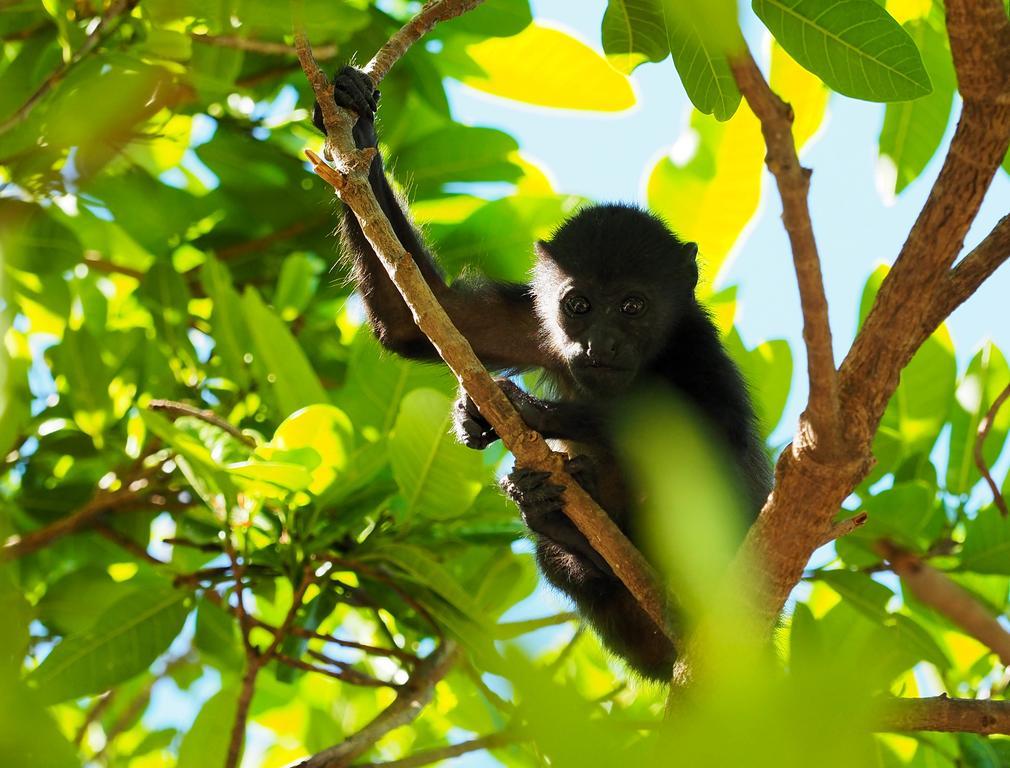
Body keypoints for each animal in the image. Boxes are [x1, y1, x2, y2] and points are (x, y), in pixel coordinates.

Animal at [315, 66, 771, 679]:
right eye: (579, 305)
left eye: (633, 306)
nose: (599, 341)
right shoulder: (535, 318)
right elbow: (419, 318)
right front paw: (356, 117)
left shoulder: (693, 345)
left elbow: (713, 432)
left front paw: (530, 411)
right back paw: (560, 528)